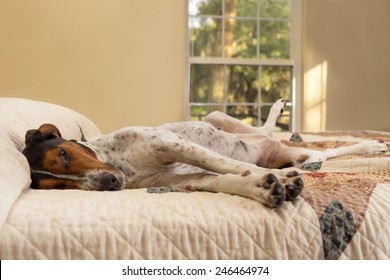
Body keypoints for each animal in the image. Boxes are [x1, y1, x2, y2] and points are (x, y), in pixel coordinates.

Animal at [22, 99, 388, 207]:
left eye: (64, 154)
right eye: (59, 185)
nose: (110, 183)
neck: (119, 161)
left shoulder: (172, 145)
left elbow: (226, 163)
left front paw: (277, 178)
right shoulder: (179, 181)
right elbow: (225, 178)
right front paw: (264, 186)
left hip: (214, 117)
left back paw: (374, 145)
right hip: (295, 154)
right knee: (314, 157)